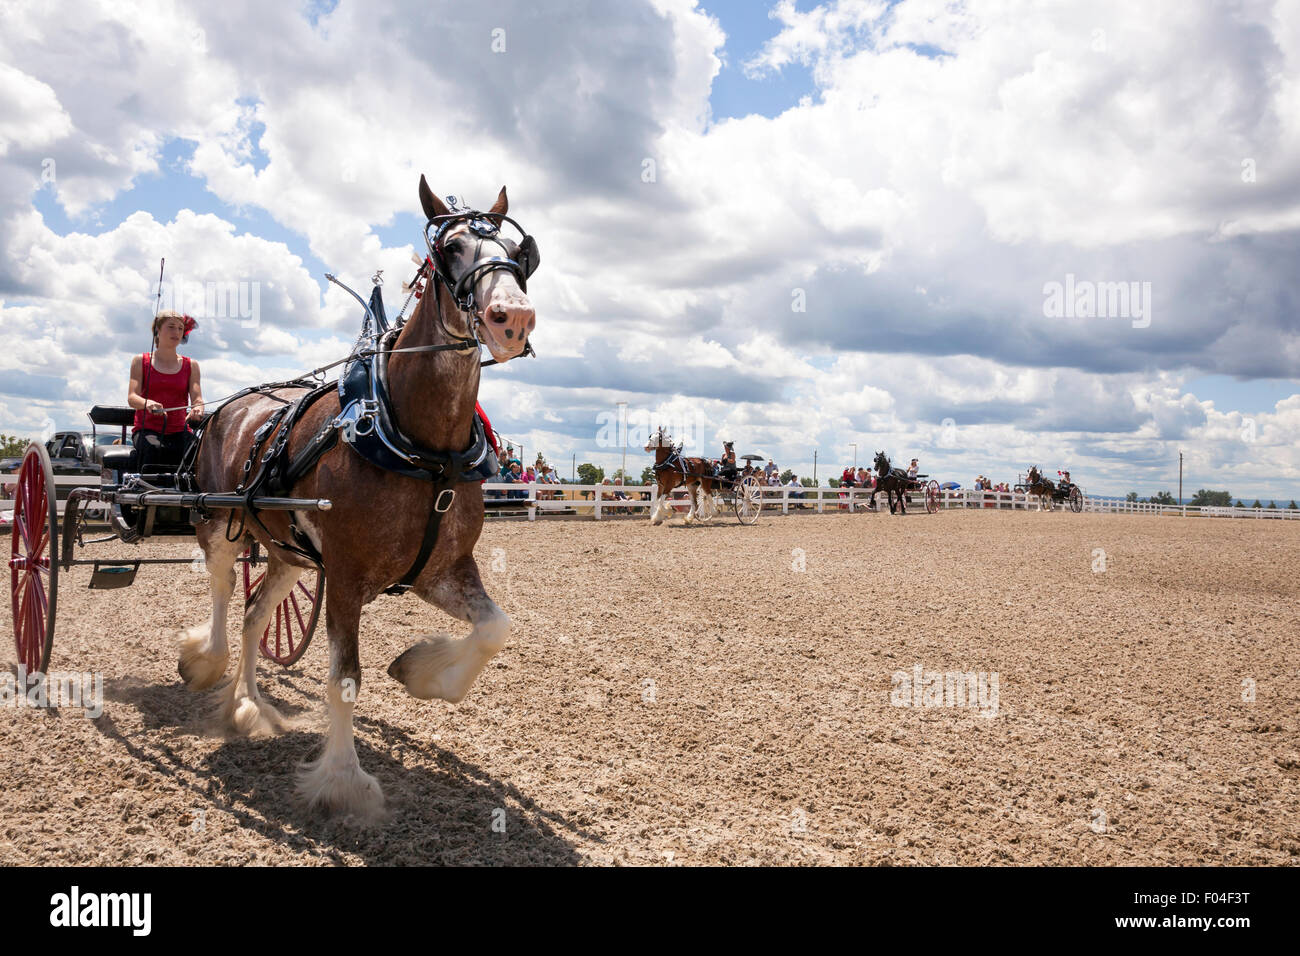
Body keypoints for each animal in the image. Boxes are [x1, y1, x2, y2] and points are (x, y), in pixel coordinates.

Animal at [176, 175, 533, 816]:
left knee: (253, 616)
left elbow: (496, 627)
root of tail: (226, 408)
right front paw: (343, 782)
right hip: (217, 524)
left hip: (289, 554)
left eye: (519, 254)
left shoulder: (441, 570)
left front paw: (425, 673)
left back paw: (249, 707)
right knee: (222, 595)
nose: (512, 318)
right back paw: (207, 663)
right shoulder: (343, 577)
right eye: (450, 248)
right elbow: (344, 680)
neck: (420, 446)